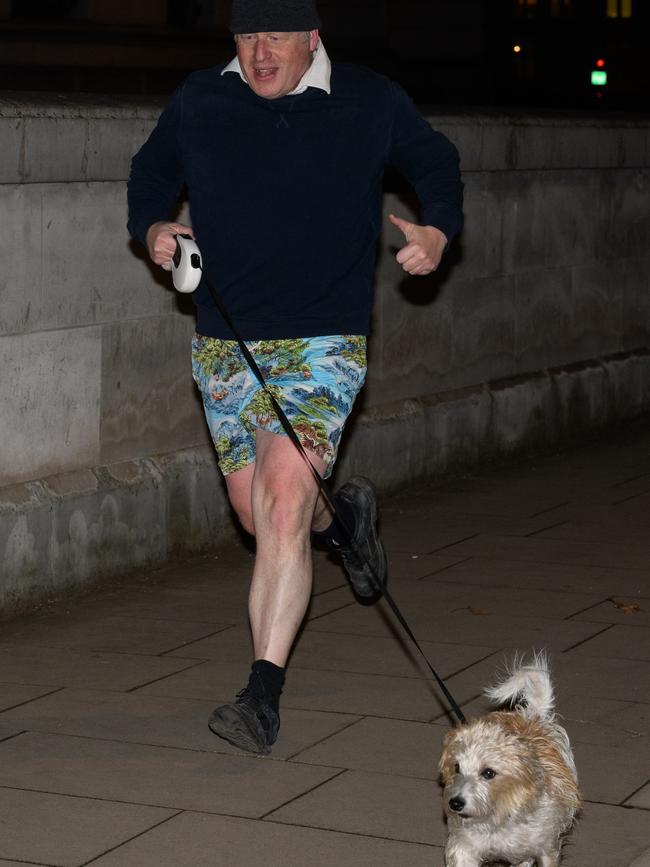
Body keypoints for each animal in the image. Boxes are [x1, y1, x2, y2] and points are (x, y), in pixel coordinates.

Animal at [438, 656, 580, 864]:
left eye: (489, 773)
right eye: (457, 768)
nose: (455, 803)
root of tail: (531, 715)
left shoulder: (545, 847)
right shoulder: (464, 847)